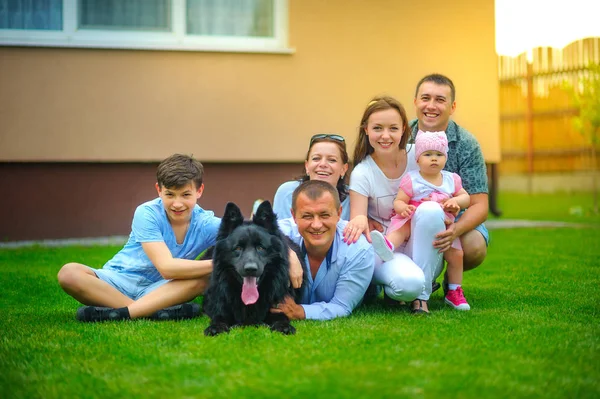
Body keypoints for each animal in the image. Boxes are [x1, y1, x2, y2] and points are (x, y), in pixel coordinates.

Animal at [203, 202, 304, 336]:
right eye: (238, 248)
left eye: (260, 248)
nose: (250, 269)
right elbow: (219, 317)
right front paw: (216, 327)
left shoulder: (278, 306)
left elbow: (281, 316)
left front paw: (283, 326)